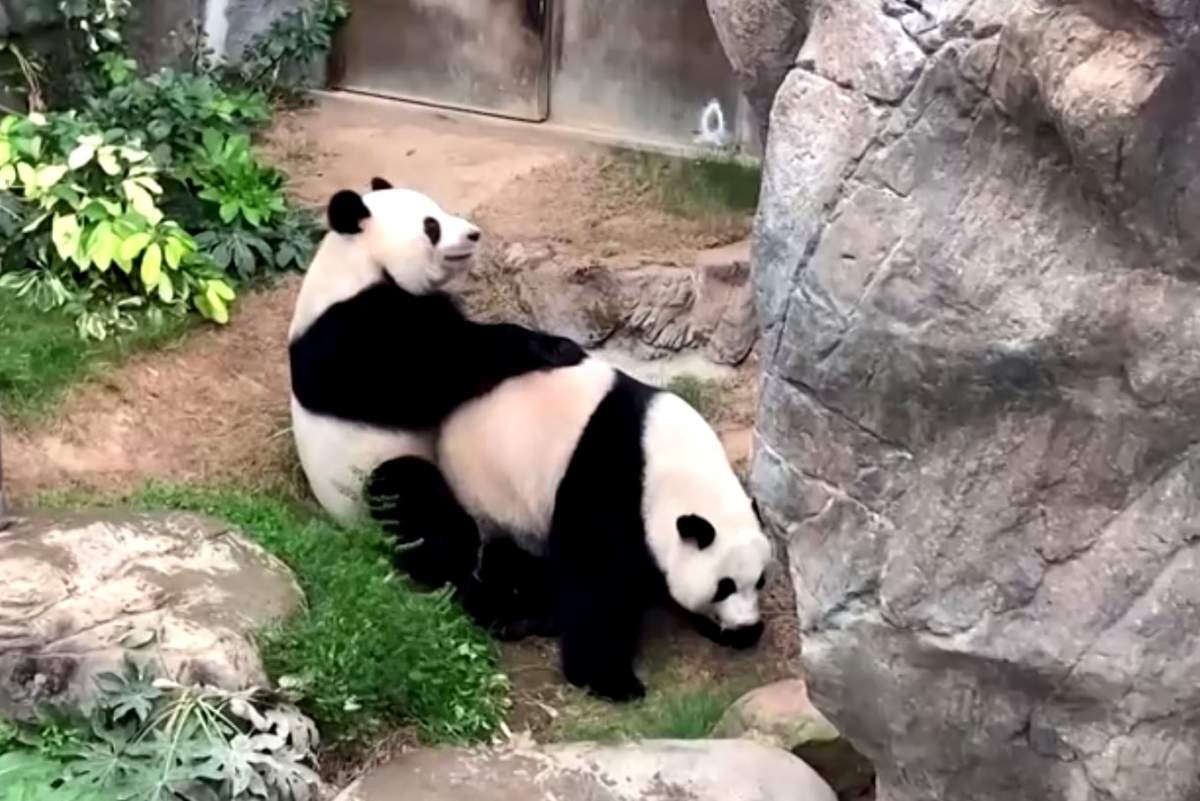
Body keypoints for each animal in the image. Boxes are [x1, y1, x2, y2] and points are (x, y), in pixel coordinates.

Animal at [288, 177, 584, 582]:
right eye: (432, 226)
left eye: (440, 209)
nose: (474, 234)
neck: (356, 263)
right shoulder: (351, 335)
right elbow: (432, 373)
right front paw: (556, 347)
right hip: (366, 486)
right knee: (409, 494)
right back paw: (459, 563)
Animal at [432, 356, 775, 702]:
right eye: (724, 586)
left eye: (759, 581)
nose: (745, 624)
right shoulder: (607, 484)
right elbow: (595, 582)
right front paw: (612, 680)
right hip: (492, 499)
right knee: (502, 562)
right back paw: (511, 615)